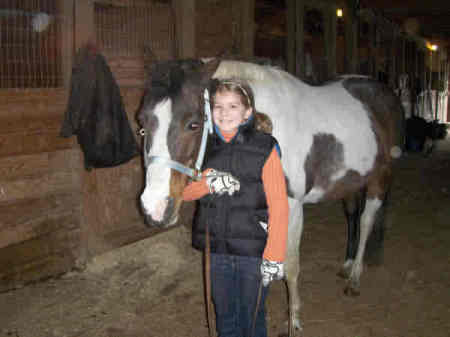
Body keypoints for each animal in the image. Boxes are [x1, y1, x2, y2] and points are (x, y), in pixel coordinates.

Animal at [136, 59, 404, 334]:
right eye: (142, 125)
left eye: (193, 124)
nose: (154, 209)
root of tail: (386, 92)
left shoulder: (291, 207)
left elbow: (291, 265)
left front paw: (293, 321)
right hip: (350, 181)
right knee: (352, 216)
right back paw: (347, 265)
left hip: (380, 177)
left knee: (367, 220)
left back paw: (355, 278)